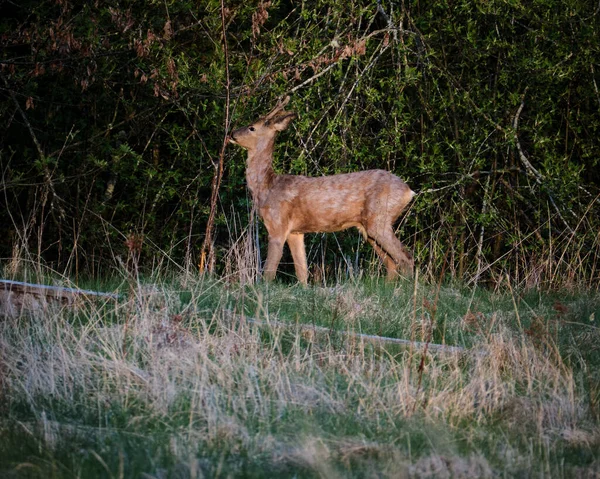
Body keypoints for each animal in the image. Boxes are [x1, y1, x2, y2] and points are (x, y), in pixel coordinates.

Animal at [227, 97, 414, 284]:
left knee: (405, 257)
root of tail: (408, 191)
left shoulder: (277, 224)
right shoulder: (295, 232)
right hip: (369, 228)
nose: (231, 133)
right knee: (391, 263)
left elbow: (269, 271)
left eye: (252, 127)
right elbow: (302, 272)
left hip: (380, 219)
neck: (267, 187)